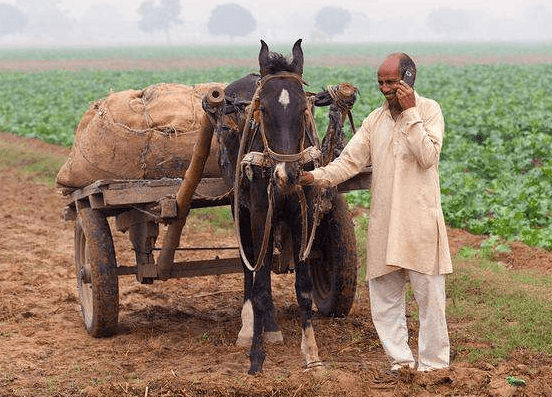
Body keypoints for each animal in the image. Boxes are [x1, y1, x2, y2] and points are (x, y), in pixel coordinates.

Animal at [213, 38, 322, 372]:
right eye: (264, 109)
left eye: (304, 109)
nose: (286, 175)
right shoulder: (260, 215)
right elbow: (259, 284)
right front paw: (256, 356)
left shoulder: (301, 215)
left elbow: (303, 288)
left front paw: (312, 354)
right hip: (240, 209)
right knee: (250, 266)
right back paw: (251, 328)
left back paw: (271, 326)